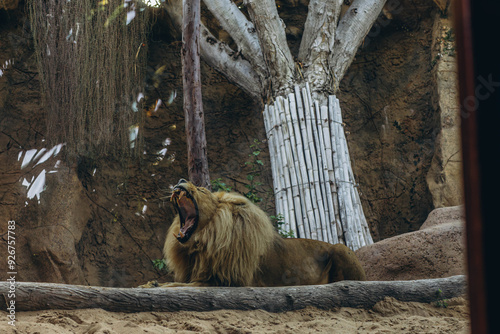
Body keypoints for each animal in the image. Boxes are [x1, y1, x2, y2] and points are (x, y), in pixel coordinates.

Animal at [146, 180, 366, 288]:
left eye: (202, 190)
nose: (181, 180)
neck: (202, 242)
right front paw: (152, 282)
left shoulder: (229, 281)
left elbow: (184, 285)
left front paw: (155, 285)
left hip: (340, 248)